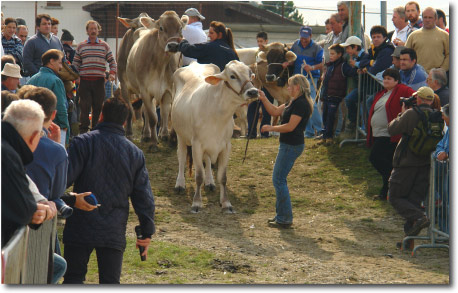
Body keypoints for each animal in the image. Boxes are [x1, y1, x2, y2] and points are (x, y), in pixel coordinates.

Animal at [172, 60, 260, 212]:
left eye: (250, 74)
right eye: (232, 76)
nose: (253, 92)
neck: (218, 114)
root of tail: (194, 64)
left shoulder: (225, 145)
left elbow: (222, 177)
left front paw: (226, 203)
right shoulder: (196, 145)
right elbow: (198, 176)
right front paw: (196, 203)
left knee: (207, 161)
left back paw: (210, 182)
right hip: (181, 136)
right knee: (182, 158)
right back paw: (180, 184)